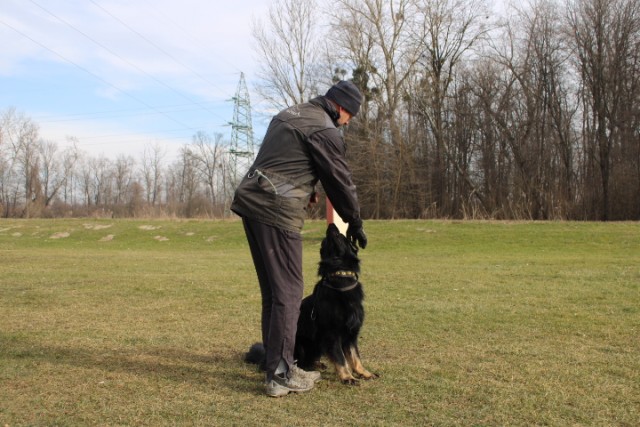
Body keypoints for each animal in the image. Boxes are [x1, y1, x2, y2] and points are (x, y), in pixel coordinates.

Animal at [244, 224, 376, 384]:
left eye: (342, 236)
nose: (331, 225)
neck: (340, 277)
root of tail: (264, 357)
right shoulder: (332, 334)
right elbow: (341, 358)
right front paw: (347, 377)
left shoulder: (351, 333)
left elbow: (355, 356)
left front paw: (364, 373)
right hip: (299, 344)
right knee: (299, 361)